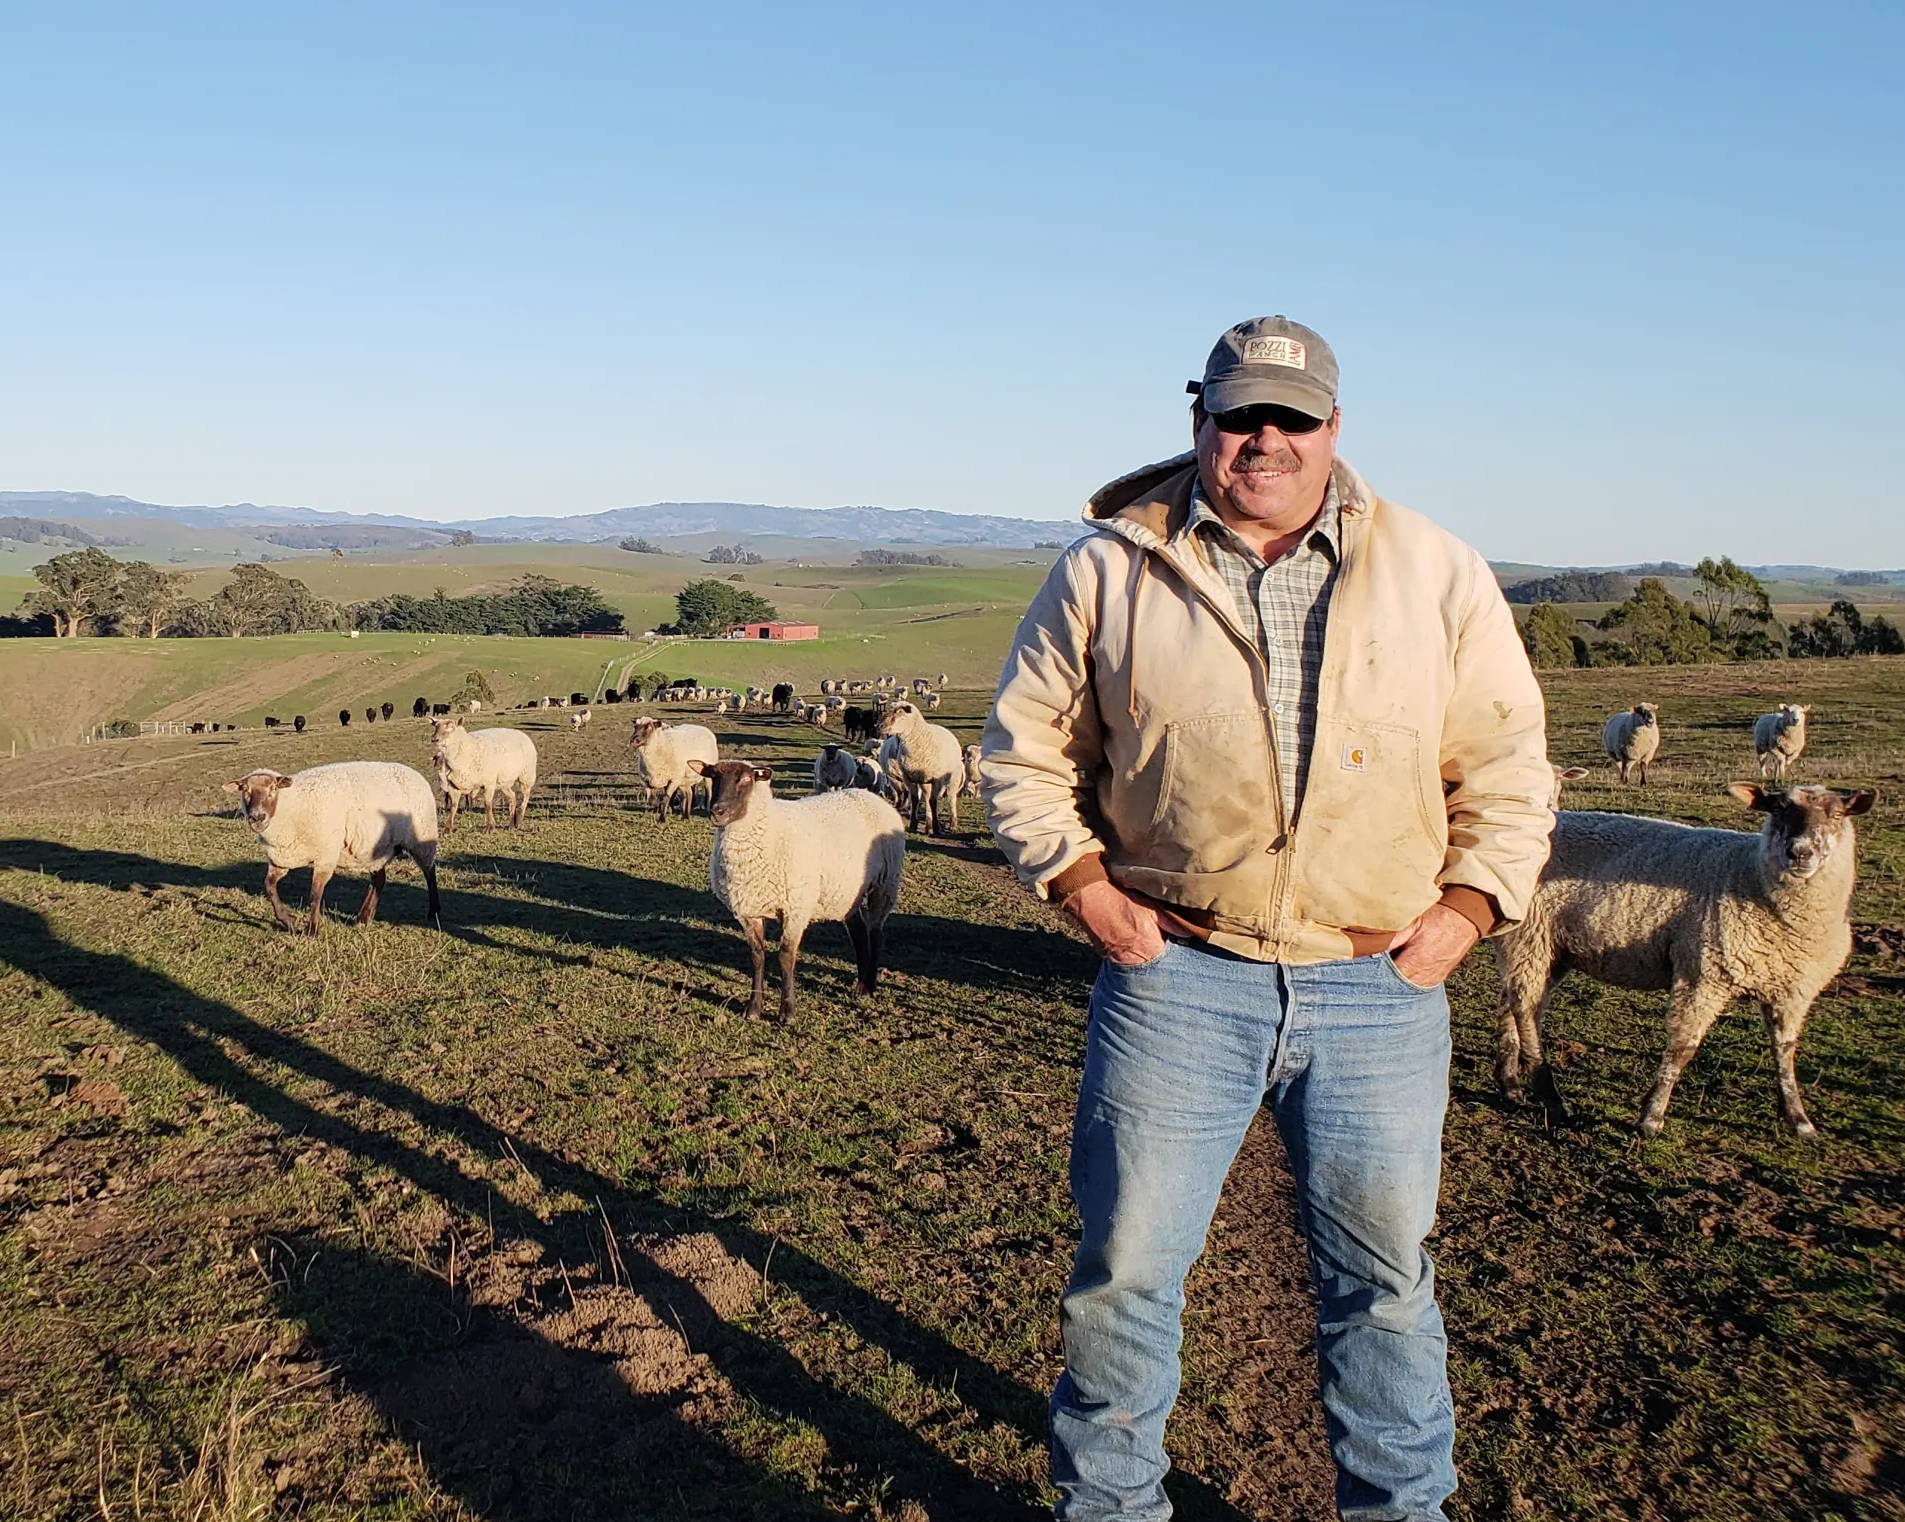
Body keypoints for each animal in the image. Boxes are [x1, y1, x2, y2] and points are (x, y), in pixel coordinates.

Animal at [223, 769, 441, 933]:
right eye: (245, 790)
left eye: (273, 789)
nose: (257, 817)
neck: (292, 804)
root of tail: (415, 774)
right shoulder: (281, 859)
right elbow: (269, 887)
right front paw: (288, 922)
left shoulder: (325, 854)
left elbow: (315, 893)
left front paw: (312, 930)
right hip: (375, 847)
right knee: (379, 880)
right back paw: (363, 918)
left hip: (422, 837)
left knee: (430, 873)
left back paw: (433, 912)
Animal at [693, 754, 906, 1021]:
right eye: (712, 777)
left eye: (745, 779)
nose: (717, 811)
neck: (768, 830)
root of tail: (868, 795)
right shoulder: (748, 911)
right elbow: (757, 956)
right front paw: (753, 1009)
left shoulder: (795, 908)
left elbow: (786, 957)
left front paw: (788, 1012)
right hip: (847, 892)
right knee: (858, 932)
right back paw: (859, 986)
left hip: (884, 884)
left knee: (876, 933)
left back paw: (869, 987)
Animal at [876, 700, 967, 834]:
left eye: (900, 712)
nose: (879, 726)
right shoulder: (910, 778)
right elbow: (915, 800)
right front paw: (913, 825)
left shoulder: (937, 779)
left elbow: (933, 802)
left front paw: (937, 828)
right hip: (924, 781)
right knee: (926, 797)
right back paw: (928, 825)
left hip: (953, 777)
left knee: (951, 798)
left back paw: (952, 824)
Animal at [1493, 792, 1882, 1135]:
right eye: (1778, 808)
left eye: (1837, 814)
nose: (1799, 853)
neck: (1751, 877)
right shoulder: (1703, 974)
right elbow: (1683, 1047)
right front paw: (1651, 1118)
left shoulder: (1792, 990)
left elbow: (1784, 1052)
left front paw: (1799, 1119)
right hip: (1531, 936)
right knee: (1527, 1010)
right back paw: (1550, 1097)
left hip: (1547, 948)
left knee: (1511, 1003)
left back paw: (1510, 1082)